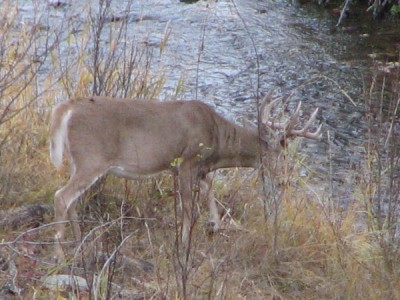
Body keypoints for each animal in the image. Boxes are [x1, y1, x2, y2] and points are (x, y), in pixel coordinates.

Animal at [49, 92, 322, 260]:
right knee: (61, 196)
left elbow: (210, 189)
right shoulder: (187, 162)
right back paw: (60, 254)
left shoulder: (195, 167)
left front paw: (215, 225)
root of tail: (67, 108)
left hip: (78, 161)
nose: (285, 181)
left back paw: (79, 241)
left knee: (71, 199)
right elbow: (189, 207)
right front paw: (184, 244)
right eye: (283, 157)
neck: (217, 138)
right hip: (92, 158)